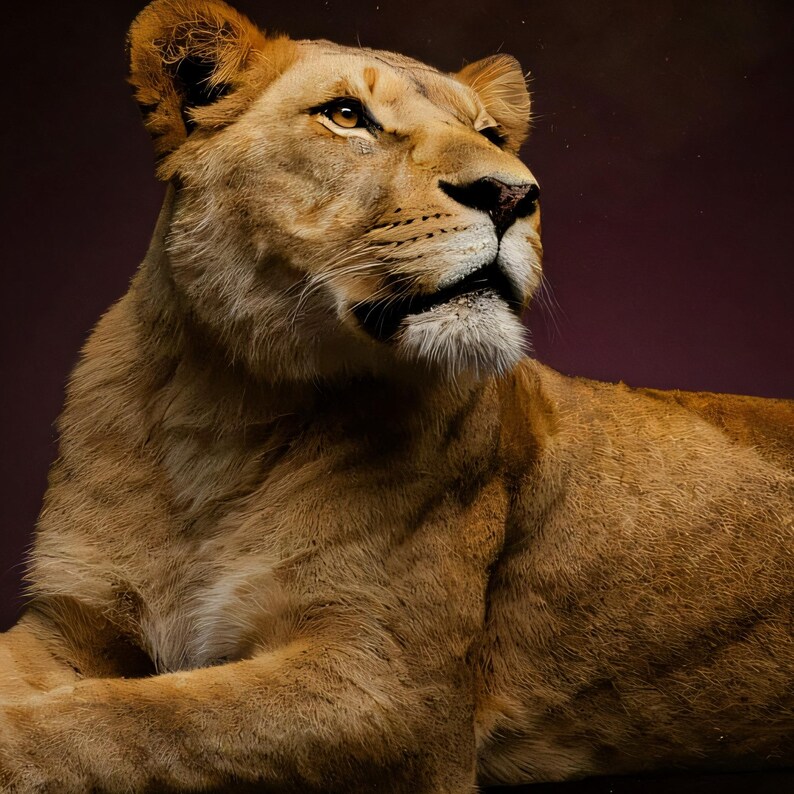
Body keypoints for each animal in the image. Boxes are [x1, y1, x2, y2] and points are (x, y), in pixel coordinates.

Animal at [1, 0, 792, 791]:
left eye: (491, 136)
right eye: (346, 115)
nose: (514, 194)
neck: (224, 411)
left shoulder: (392, 690)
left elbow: (137, 720)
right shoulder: (68, 624)